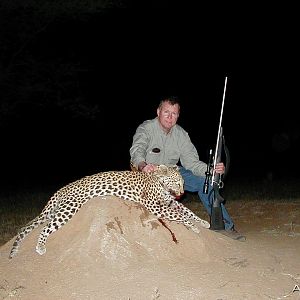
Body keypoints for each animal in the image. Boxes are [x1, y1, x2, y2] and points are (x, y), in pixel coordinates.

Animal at [9, 164, 211, 258]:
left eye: (183, 183)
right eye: (176, 182)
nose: (183, 192)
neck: (160, 185)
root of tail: (61, 190)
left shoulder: (169, 202)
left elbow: (187, 211)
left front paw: (203, 222)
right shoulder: (156, 206)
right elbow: (179, 215)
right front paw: (193, 226)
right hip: (69, 208)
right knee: (46, 228)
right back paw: (40, 246)